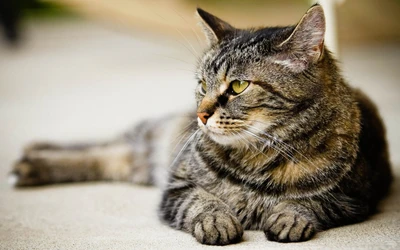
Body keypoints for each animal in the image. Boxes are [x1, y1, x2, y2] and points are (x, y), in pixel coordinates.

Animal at [7, 3, 392, 245]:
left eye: (238, 86)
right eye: (202, 85)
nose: (201, 116)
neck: (255, 158)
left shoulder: (354, 198)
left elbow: (311, 202)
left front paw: (289, 217)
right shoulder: (175, 186)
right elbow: (201, 201)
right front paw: (217, 220)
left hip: (139, 162)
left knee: (110, 156)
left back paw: (31, 165)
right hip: (155, 140)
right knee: (103, 144)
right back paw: (33, 155)